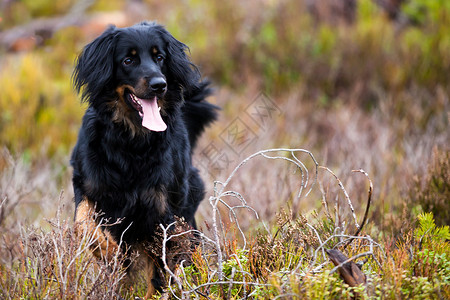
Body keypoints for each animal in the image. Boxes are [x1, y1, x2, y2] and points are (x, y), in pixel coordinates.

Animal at [71, 21, 218, 298]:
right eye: (128, 60)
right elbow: (84, 223)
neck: (132, 142)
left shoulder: (161, 212)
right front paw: (106, 249)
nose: (160, 84)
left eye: (159, 57)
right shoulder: (87, 185)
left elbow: (159, 271)